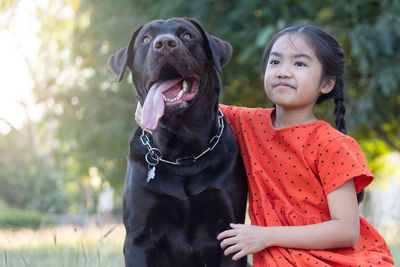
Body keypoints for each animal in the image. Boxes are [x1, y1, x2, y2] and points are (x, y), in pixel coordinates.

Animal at [108, 17, 248, 266]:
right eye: (146, 39)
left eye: (187, 36)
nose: (164, 43)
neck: (183, 155)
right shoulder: (138, 238)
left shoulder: (231, 233)